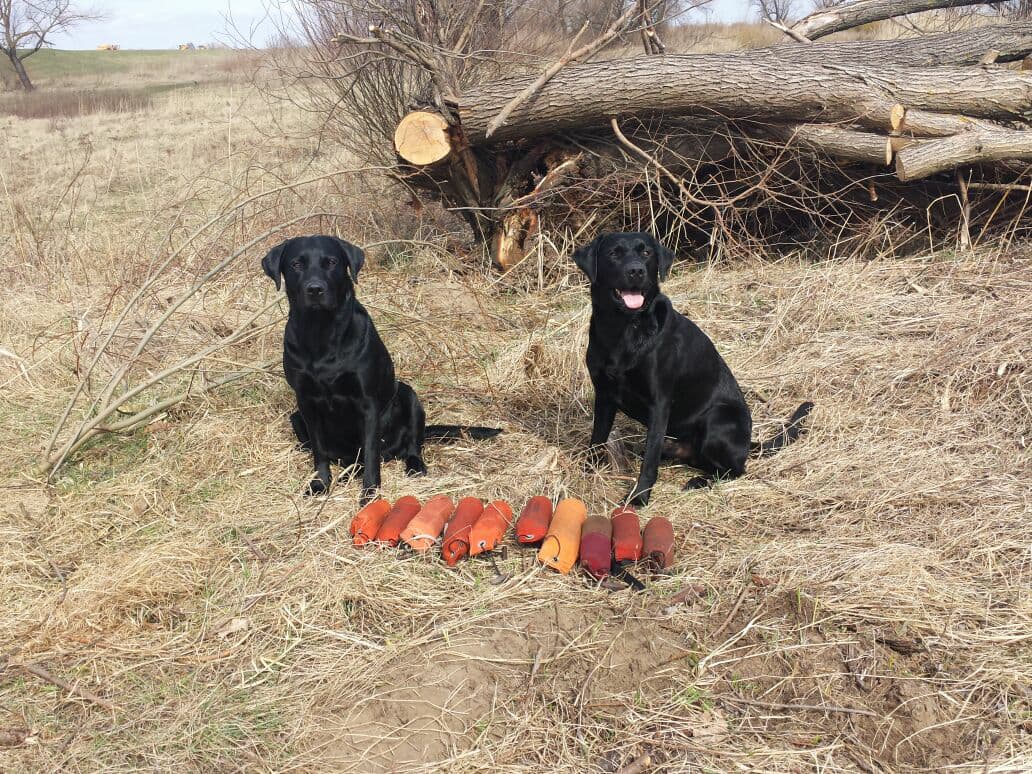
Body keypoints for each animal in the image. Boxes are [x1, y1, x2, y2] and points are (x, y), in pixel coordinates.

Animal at [260, 236, 497, 499]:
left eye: (331, 262)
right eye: (296, 264)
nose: (315, 289)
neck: (321, 332)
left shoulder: (368, 403)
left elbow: (371, 453)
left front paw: (370, 493)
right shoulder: (305, 401)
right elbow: (319, 452)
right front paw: (320, 484)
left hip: (409, 396)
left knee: (411, 446)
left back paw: (414, 466)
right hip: (296, 418)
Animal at [573, 233, 813, 505]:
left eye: (646, 253)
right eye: (614, 253)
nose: (636, 271)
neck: (625, 328)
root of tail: (749, 443)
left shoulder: (660, 404)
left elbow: (649, 462)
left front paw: (639, 497)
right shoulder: (604, 395)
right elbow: (597, 439)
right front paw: (588, 474)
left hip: (718, 418)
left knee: (735, 469)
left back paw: (699, 481)